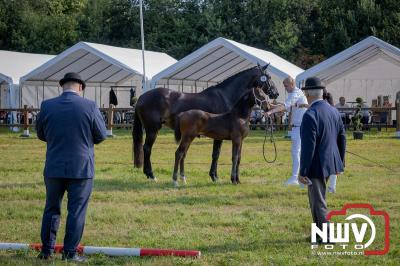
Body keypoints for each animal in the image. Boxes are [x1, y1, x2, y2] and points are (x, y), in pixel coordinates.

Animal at [133, 64, 276, 181]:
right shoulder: (220, 136)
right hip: (152, 129)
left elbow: (217, 155)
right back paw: (151, 175)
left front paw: (215, 176)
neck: (226, 95)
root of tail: (141, 98)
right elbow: (216, 154)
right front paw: (214, 177)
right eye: (268, 77)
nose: (276, 93)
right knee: (147, 148)